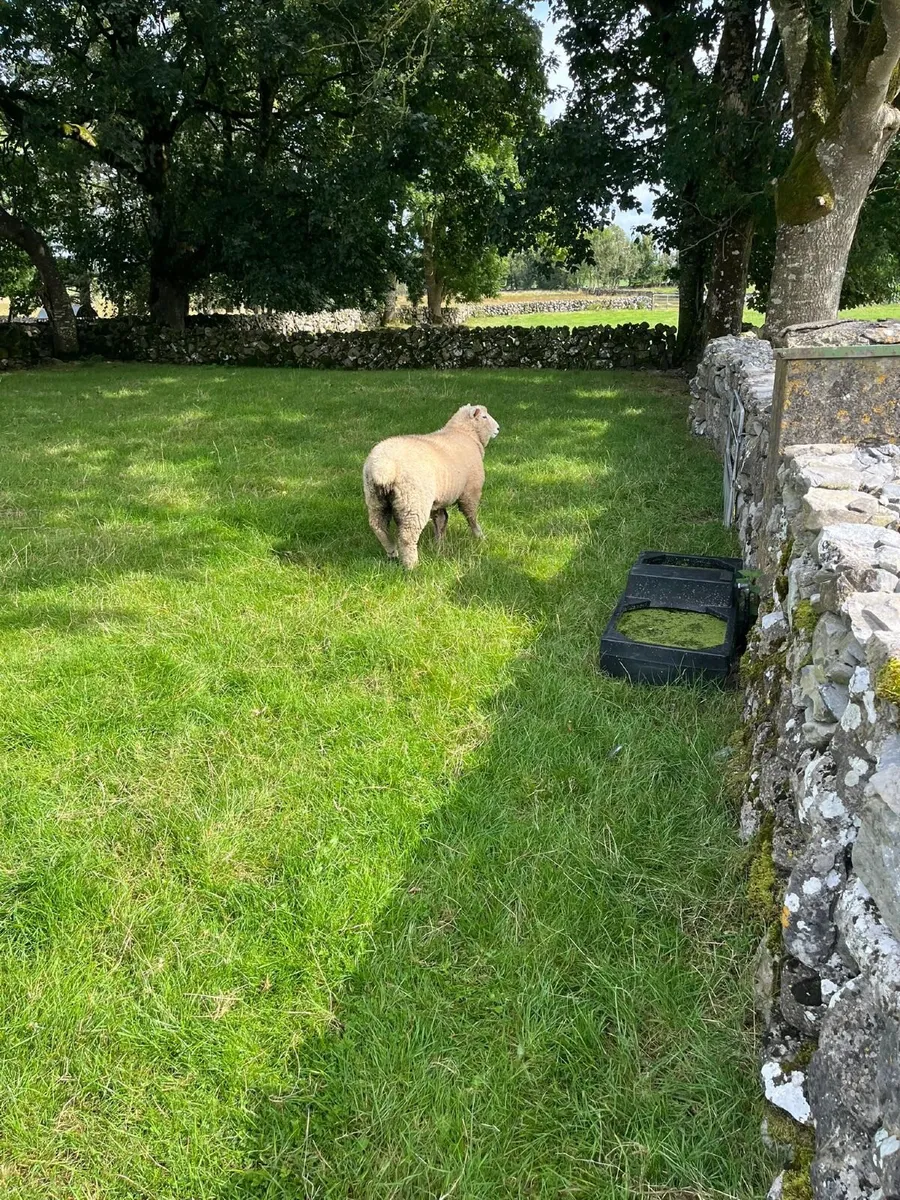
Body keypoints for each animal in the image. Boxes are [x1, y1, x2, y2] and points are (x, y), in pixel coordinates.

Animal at [363, 404, 500, 569]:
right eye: (484, 417)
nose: (498, 428)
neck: (465, 434)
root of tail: (382, 466)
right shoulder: (470, 491)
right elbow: (470, 516)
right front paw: (479, 536)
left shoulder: (438, 498)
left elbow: (441, 519)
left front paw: (439, 543)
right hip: (414, 502)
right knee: (407, 536)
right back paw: (412, 566)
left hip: (375, 499)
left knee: (378, 526)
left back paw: (392, 552)